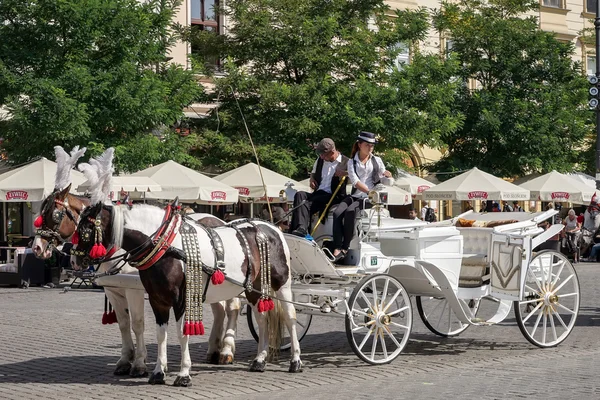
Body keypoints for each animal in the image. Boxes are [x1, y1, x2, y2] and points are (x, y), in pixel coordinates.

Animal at [72, 203, 302, 388]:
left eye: (84, 230)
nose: (74, 260)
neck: (167, 248)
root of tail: (270, 227)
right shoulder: (157, 300)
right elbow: (160, 334)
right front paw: (158, 372)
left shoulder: (180, 299)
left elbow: (182, 334)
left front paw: (183, 374)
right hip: (253, 287)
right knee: (262, 319)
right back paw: (259, 360)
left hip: (282, 284)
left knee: (290, 317)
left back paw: (295, 361)